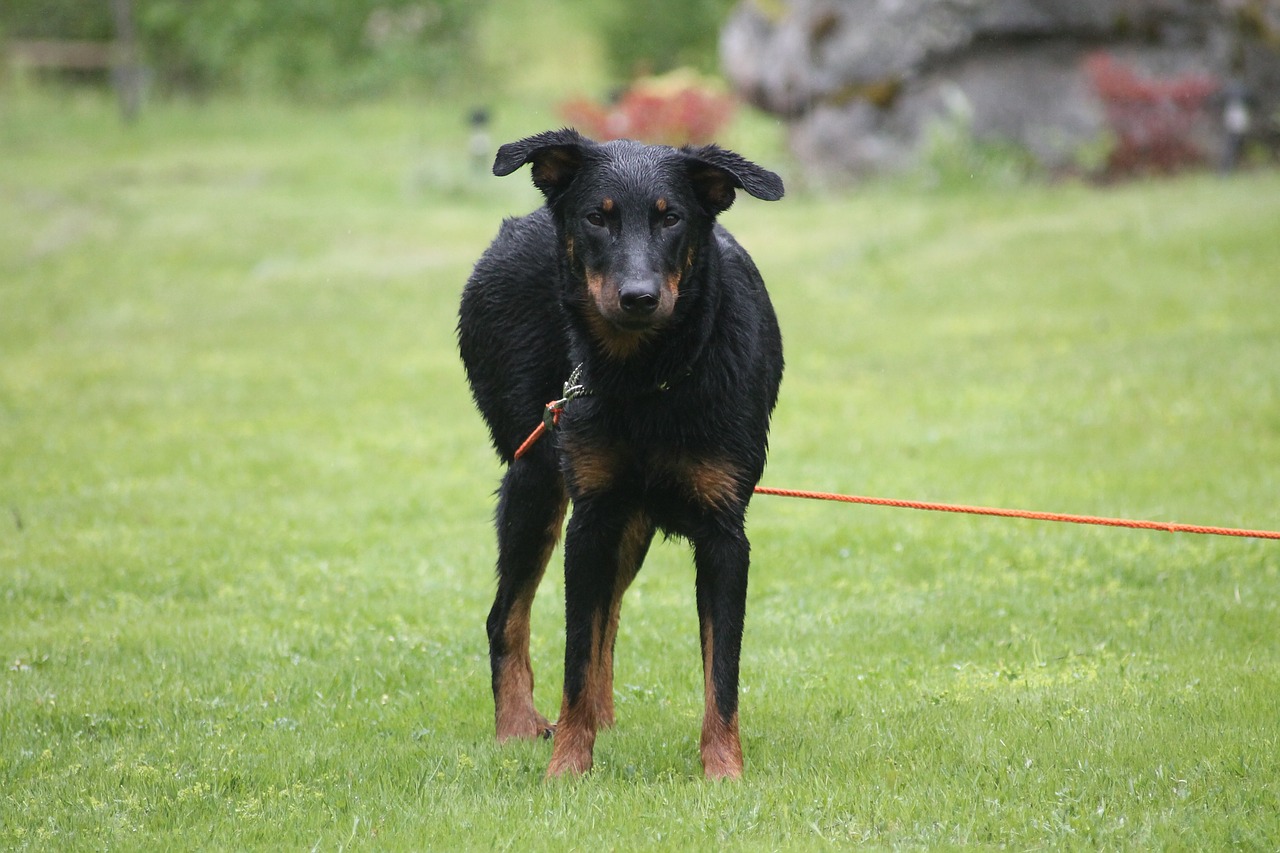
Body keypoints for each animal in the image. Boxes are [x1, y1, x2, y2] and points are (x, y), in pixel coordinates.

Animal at [455, 128, 783, 778]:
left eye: (671, 217)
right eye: (596, 218)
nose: (638, 297)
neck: (649, 378)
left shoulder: (723, 534)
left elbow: (721, 674)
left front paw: (724, 773)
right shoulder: (590, 522)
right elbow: (574, 661)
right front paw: (566, 768)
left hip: (630, 523)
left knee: (606, 615)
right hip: (537, 481)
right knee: (507, 616)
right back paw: (516, 726)